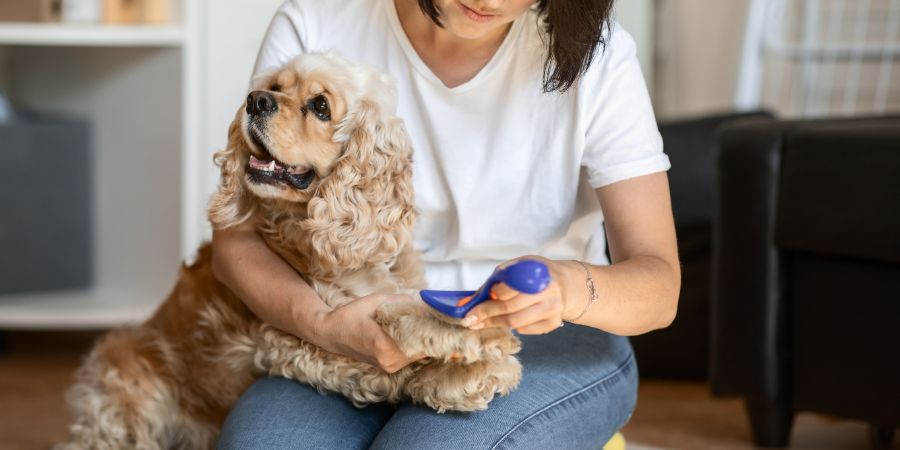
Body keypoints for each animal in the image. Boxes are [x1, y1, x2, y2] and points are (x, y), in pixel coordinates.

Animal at [59, 53, 520, 450]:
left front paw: (462, 367)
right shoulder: (290, 341)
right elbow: (395, 327)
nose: (255, 100)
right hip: (128, 399)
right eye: (275, 88)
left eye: (320, 106)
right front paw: (477, 349)